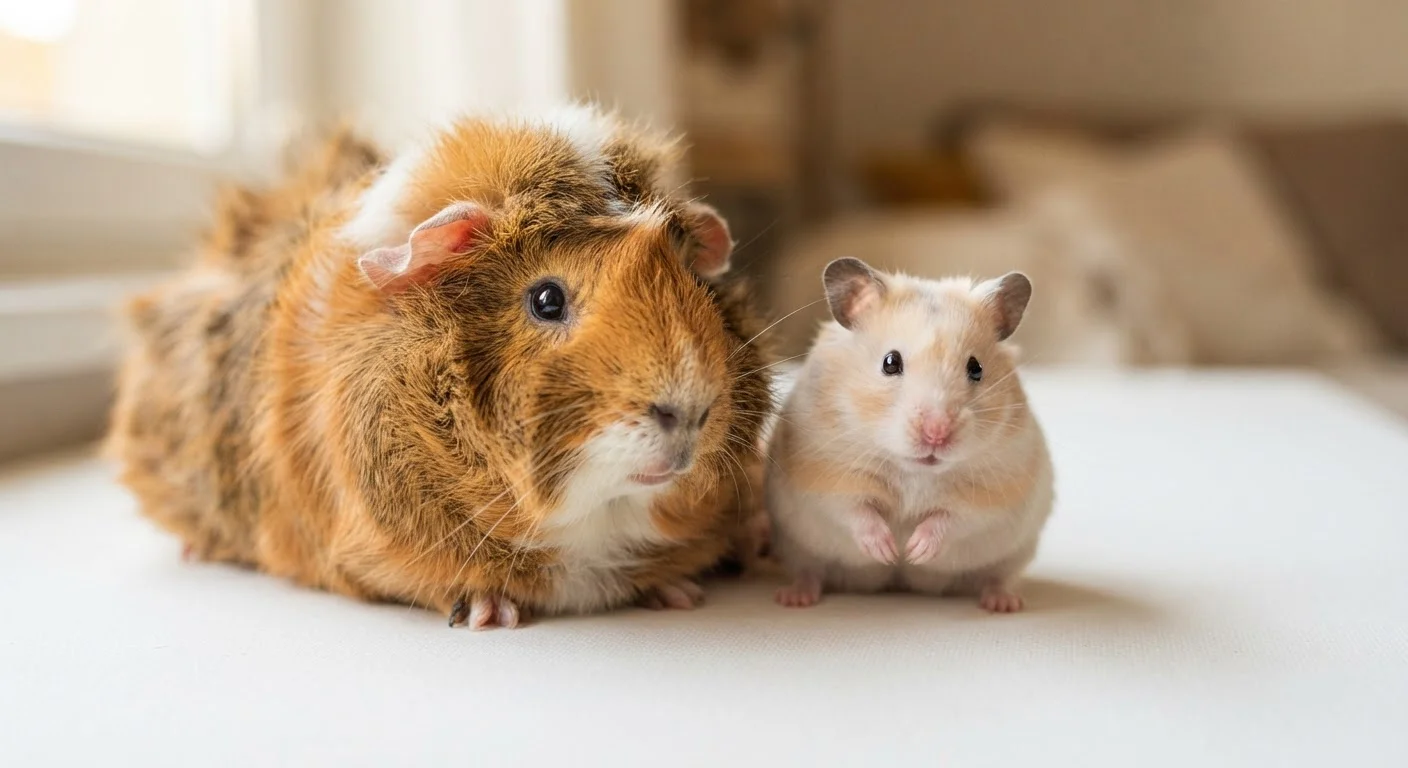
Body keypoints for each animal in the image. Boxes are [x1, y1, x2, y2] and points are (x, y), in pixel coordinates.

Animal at [765, 257, 1053, 612]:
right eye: (890, 362)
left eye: (976, 368)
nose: (936, 433)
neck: (915, 469)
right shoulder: (825, 475)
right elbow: (854, 511)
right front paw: (888, 551)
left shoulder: (991, 493)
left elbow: (952, 518)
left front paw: (915, 552)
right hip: (797, 547)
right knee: (810, 571)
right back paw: (794, 598)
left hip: (1013, 554)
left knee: (997, 577)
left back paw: (1003, 603)